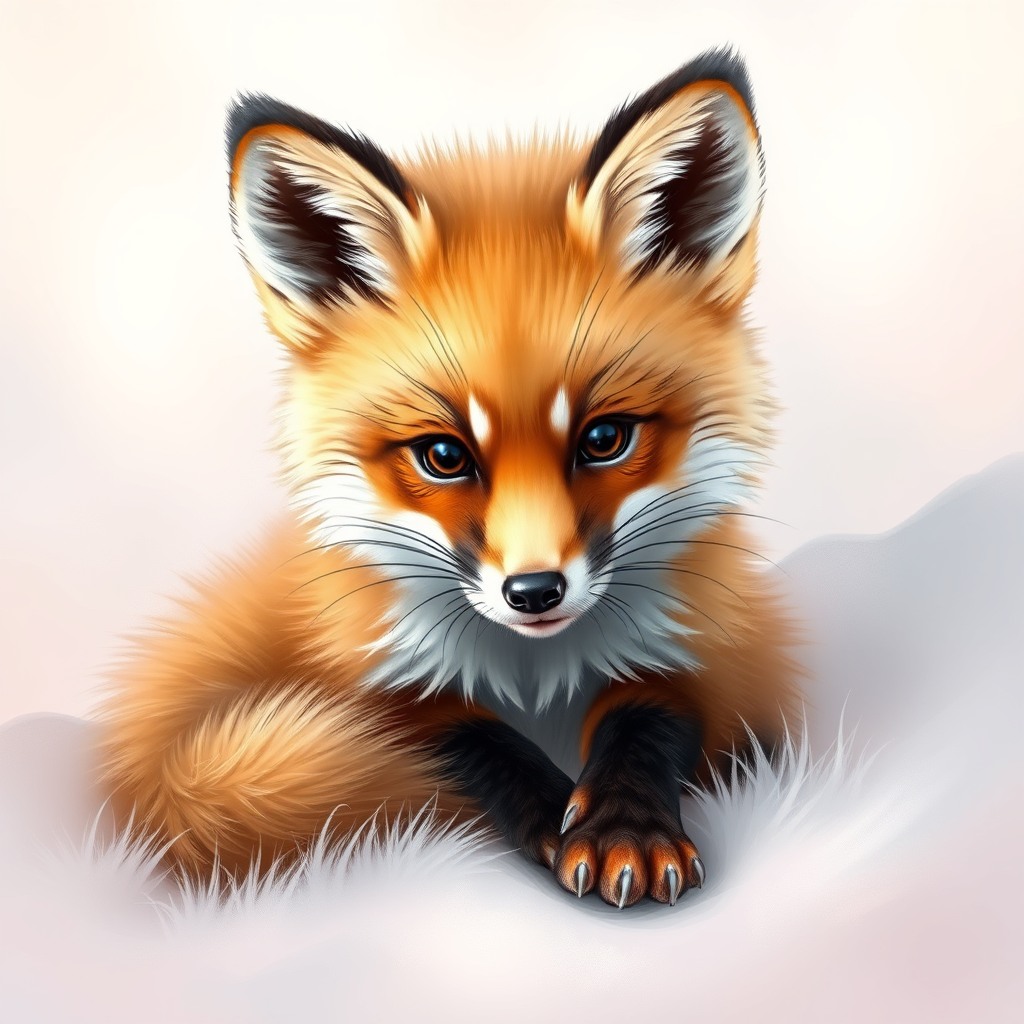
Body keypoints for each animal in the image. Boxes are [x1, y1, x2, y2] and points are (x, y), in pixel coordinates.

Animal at [96, 47, 800, 909]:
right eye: (443, 455)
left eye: (604, 439)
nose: (534, 593)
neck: (535, 675)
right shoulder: (366, 667)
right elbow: (454, 735)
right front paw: (550, 812)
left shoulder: (726, 653)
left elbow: (647, 714)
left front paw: (620, 825)